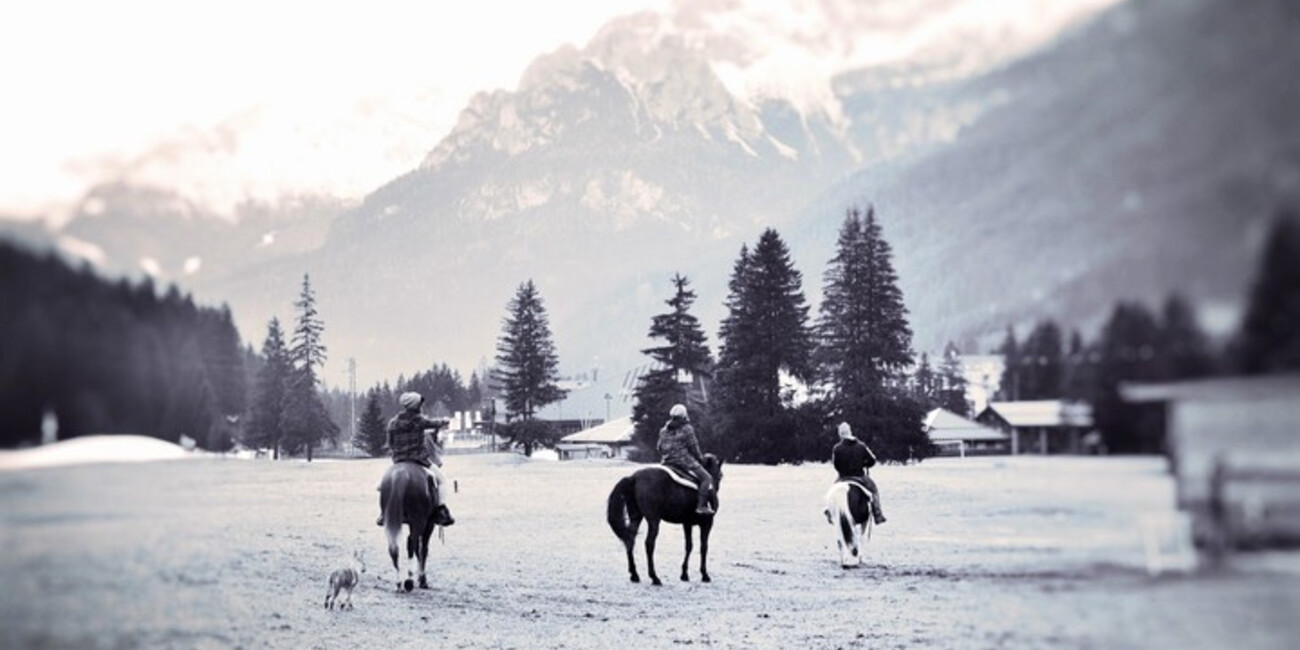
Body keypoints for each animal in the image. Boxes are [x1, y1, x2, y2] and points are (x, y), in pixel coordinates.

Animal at [377, 460, 436, 592]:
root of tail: (401, 473)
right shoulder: (429, 525)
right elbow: (423, 550)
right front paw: (422, 580)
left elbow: (418, 550)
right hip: (419, 521)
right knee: (411, 543)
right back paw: (409, 581)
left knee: (394, 548)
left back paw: (399, 583)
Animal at [605, 454, 728, 587]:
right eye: (721, 475)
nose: (716, 487)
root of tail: (633, 477)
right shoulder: (707, 523)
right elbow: (704, 547)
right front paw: (704, 575)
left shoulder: (687, 524)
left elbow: (689, 546)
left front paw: (684, 574)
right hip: (653, 520)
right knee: (649, 544)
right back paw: (654, 577)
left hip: (636, 516)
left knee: (630, 540)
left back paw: (634, 575)